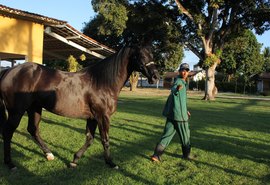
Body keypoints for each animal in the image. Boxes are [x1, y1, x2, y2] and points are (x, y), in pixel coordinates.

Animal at [0, 44, 159, 169]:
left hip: (35, 109)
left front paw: (74, 160)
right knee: (8, 132)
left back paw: (49, 154)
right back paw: (10, 163)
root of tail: (9, 71)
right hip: (16, 111)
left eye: (151, 54)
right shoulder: (103, 116)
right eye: (140, 55)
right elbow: (105, 139)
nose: (155, 76)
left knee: (33, 130)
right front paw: (111, 163)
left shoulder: (93, 117)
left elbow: (90, 139)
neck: (101, 82)